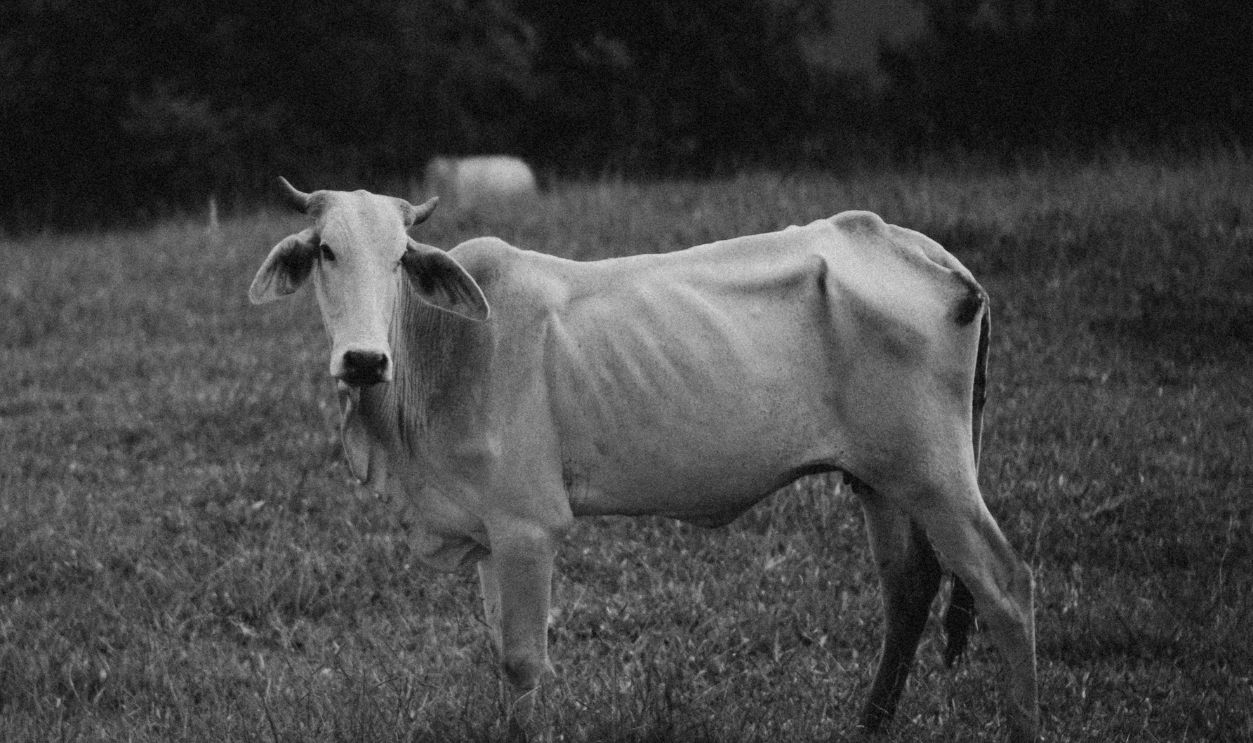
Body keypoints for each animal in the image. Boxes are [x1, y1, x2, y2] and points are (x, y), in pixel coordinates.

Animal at [248, 177, 1038, 742]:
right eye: (325, 252)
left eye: (398, 259)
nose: (362, 359)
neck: (439, 355)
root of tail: (930, 252)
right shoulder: (490, 535)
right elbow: (502, 655)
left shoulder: (529, 528)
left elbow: (522, 661)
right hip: (880, 479)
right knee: (908, 588)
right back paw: (869, 725)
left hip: (936, 475)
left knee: (1003, 586)